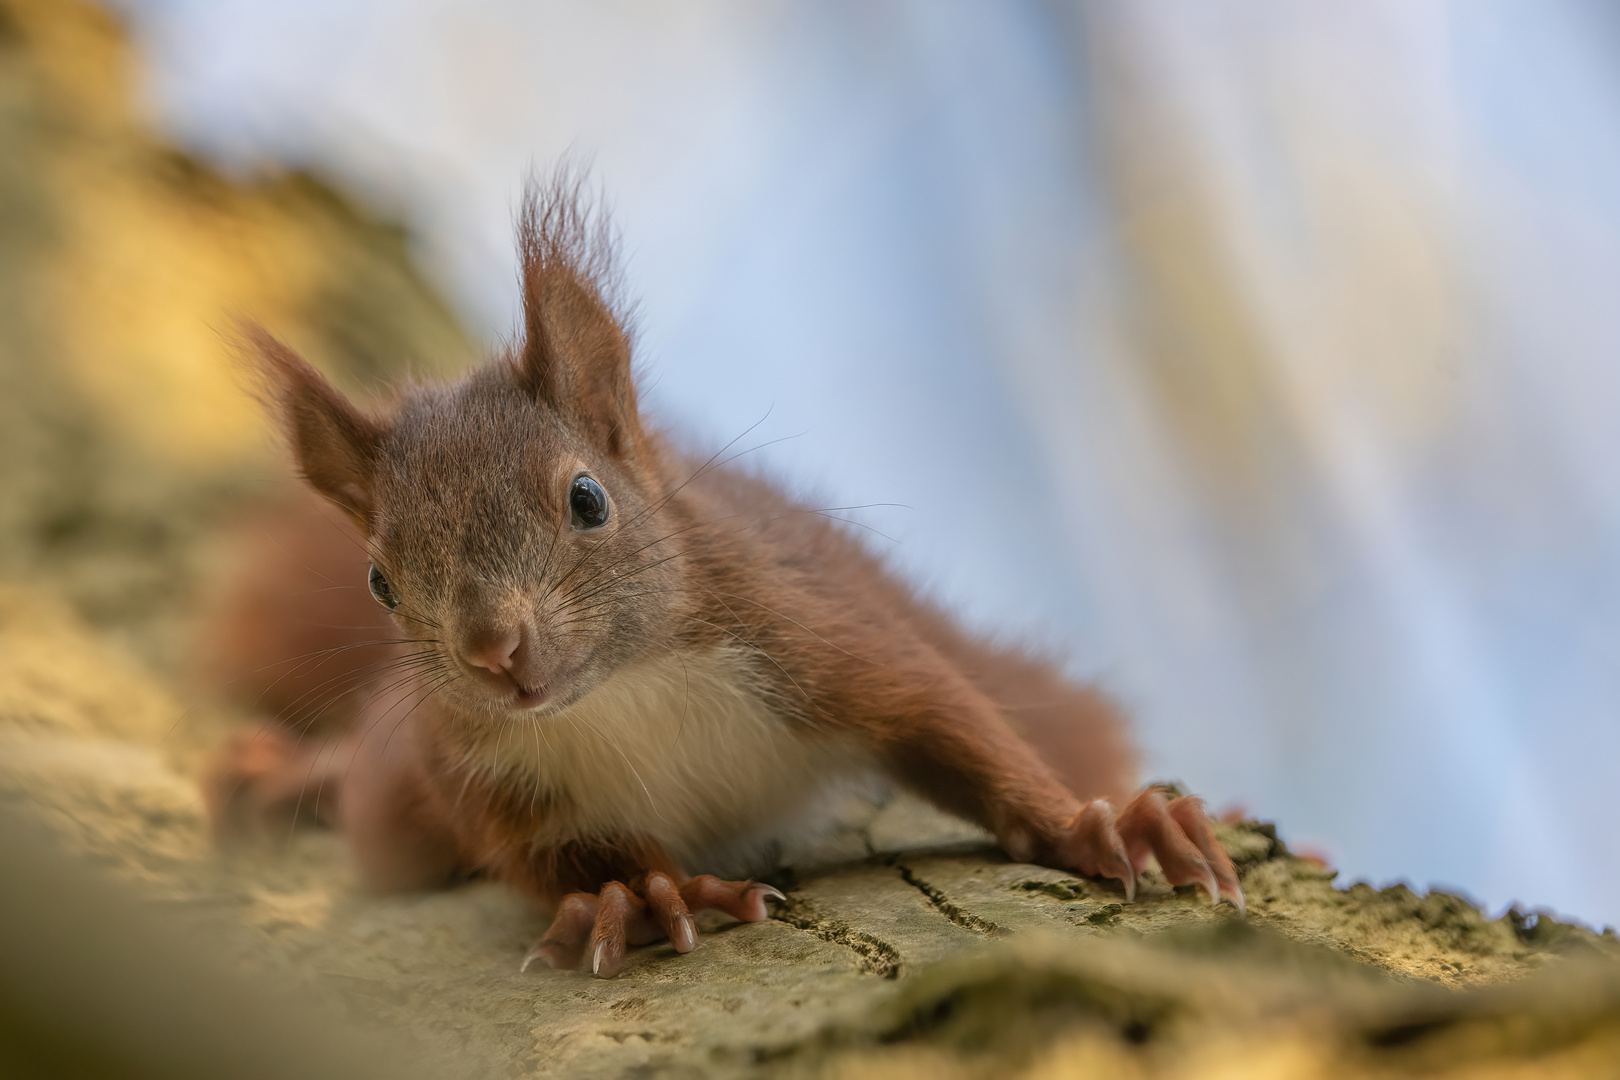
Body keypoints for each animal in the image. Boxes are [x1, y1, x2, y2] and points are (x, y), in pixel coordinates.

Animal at [202, 175, 1237, 977]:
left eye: (587, 498)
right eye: (380, 582)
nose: (494, 650)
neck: (623, 690)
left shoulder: (816, 634)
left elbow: (955, 725)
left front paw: (1099, 827)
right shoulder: (477, 774)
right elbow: (545, 861)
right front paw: (634, 898)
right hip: (402, 799)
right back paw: (288, 770)